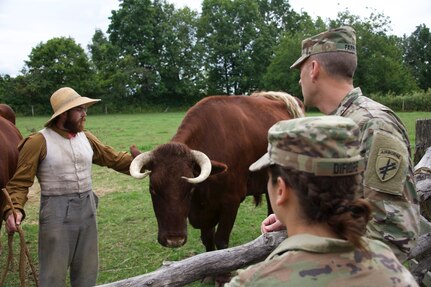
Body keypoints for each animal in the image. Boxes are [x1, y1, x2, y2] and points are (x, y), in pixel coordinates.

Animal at [132, 92, 304, 252]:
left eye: (190, 189)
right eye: (152, 189)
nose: (174, 240)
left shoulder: (231, 202)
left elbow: (221, 242)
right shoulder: (204, 213)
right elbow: (208, 241)